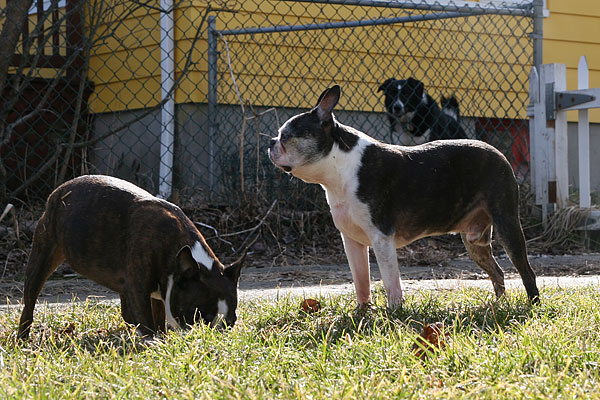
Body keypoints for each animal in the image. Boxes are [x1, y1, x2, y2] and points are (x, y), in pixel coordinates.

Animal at [268, 86, 540, 308]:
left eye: (287, 136)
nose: (271, 142)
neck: (340, 166)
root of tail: (498, 153)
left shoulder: (381, 237)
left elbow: (391, 281)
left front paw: (394, 312)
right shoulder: (352, 242)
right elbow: (361, 281)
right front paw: (362, 312)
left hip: (506, 224)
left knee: (526, 271)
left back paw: (531, 306)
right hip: (474, 242)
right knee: (498, 272)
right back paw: (498, 305)